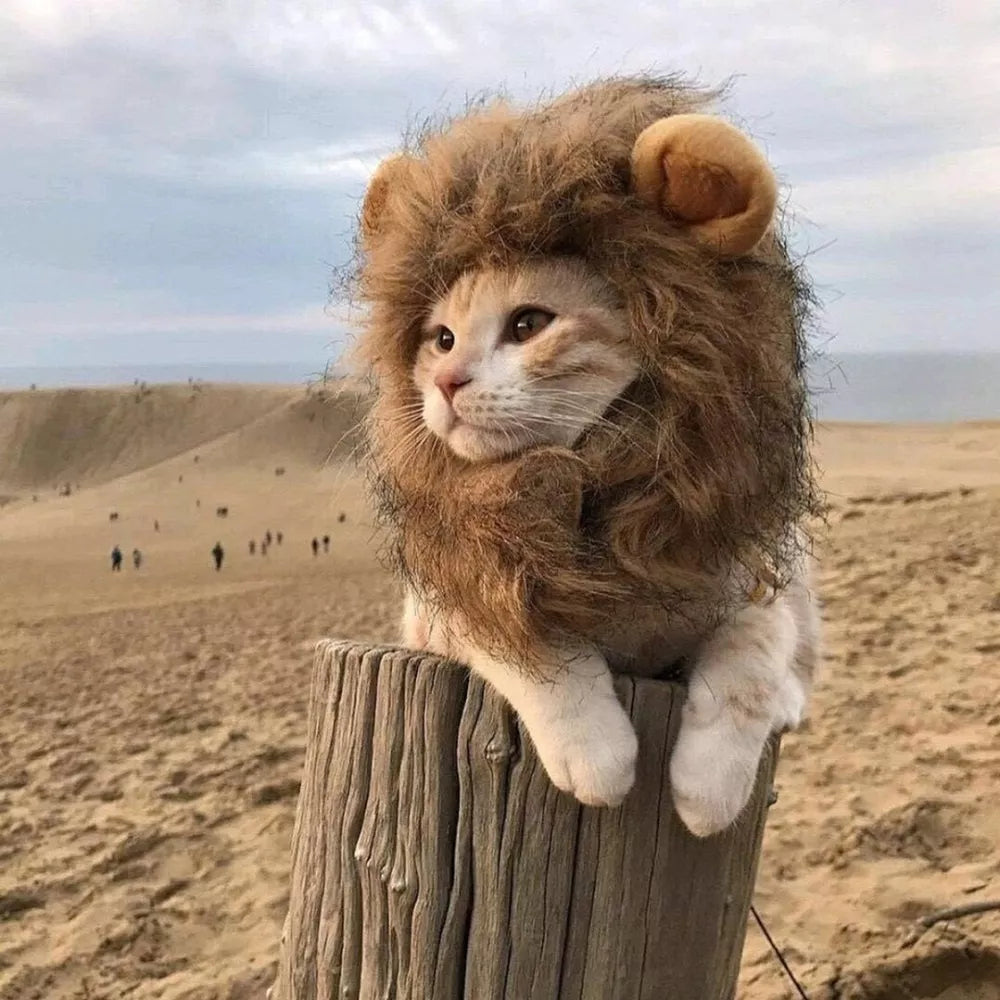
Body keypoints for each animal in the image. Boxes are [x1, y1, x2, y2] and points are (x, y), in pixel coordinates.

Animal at [394, 256, 816, 836]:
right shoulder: (451, 604)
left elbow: (752, 663)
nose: (444, 381)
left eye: (528, 324)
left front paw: (711, 785)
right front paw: (595, 753)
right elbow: (536, 644)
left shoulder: (752, 592)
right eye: (443, 339)